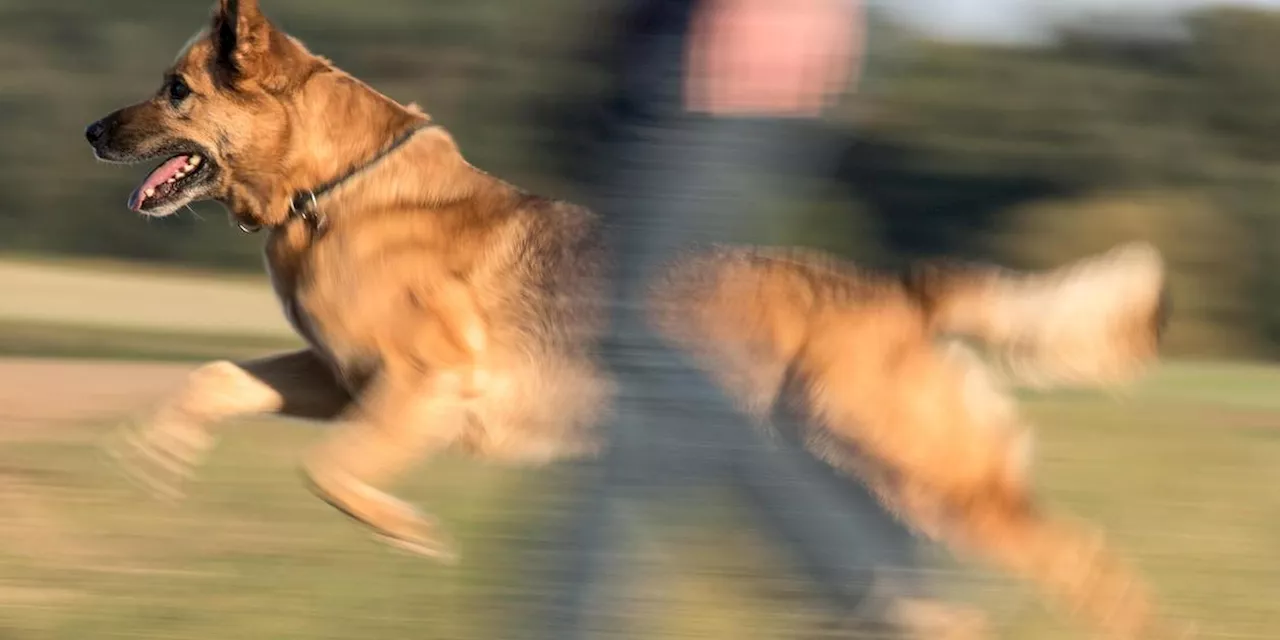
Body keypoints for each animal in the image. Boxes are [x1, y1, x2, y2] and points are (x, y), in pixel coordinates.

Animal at [87, 0, 611, 560]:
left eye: (178, 89)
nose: (90, 133)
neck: (331, 189)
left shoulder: (423, 382)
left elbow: (322, 468)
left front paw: (412, 533)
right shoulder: (341, 377)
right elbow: (218, 377)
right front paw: (162, 448)